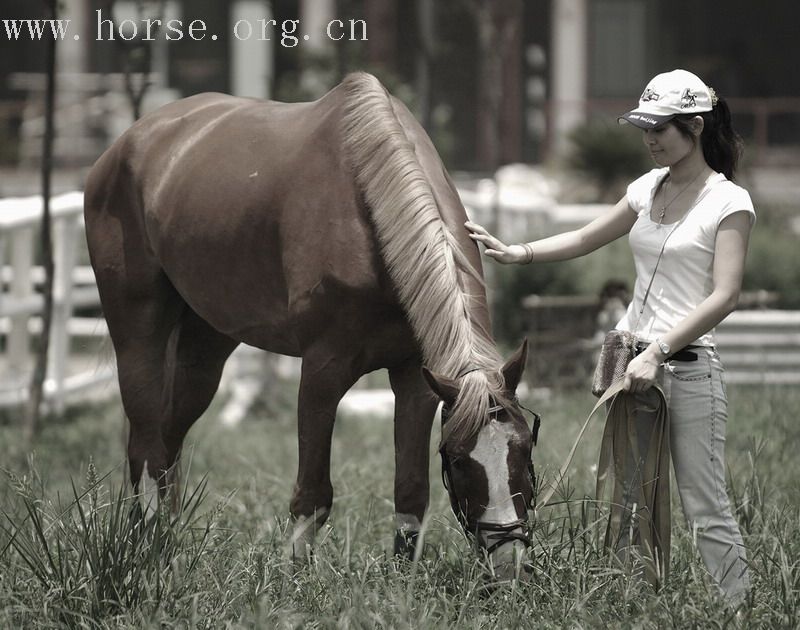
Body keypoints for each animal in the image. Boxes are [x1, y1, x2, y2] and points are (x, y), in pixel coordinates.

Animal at [84, 73, 536, 572]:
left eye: (524, 448)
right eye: (457, 459)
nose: (508, 557)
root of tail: (126, 143)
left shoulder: (416, 380)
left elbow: (411, 489)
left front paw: (404, 576)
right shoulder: (323, 371)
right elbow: (313, 492)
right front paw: (297, 575)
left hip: (206, 342)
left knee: (169, 436)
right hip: (137, 328)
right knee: (145, 442)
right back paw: (146, 544)